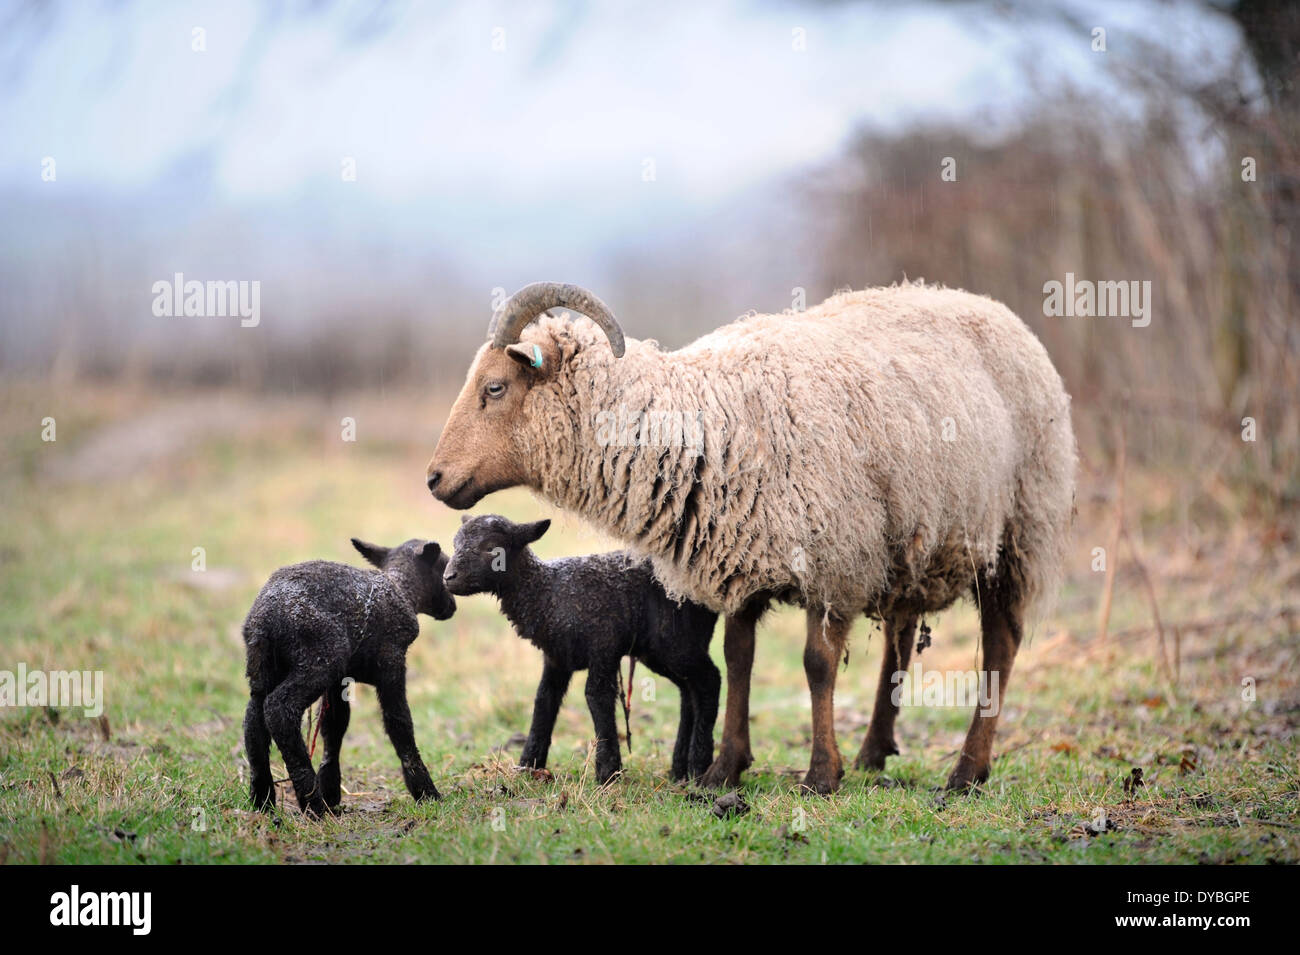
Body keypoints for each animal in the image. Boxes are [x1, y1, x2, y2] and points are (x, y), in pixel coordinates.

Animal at [243, 535, 457, 815]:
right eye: (443, 569)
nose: (452, 607)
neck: (401, 589)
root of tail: (265, 618)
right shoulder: (391, 662)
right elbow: (399, 723)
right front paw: (426, 793)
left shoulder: (340, 679)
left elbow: (334, 725)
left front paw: (331, 790)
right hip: (318, 659)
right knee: (279, 709)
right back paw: (311, 802)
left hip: (264, 667)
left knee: (253, 719)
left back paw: (262, 799)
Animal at [441, 514, 717, 784]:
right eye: (455, 544)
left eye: (491, 547)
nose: (448, 578)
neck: (547, 593)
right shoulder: (556, 659)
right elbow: (544, 699)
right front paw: (529, 766)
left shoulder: (603, 645)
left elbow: (597, 696)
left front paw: (608, 772)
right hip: (664, 649)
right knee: (688, 690)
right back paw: (679, 769)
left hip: (675, 641)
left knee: (709, 680)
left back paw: (699, 765)